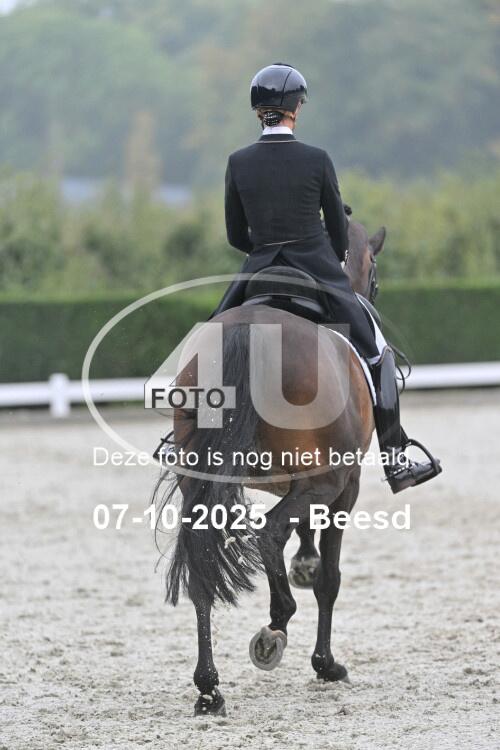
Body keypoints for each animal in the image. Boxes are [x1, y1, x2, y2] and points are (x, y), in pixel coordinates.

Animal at [155, 220, 386, 717]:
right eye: (373, 270)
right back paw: (275, 627)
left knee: (204, 563)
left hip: (203, 481)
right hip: (329, 480)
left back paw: (209, 690)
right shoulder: (344, 487)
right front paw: (326, 664)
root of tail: (251, 329)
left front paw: (303, 562)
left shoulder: (298, 483)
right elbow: (329, 579)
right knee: (268, 532)